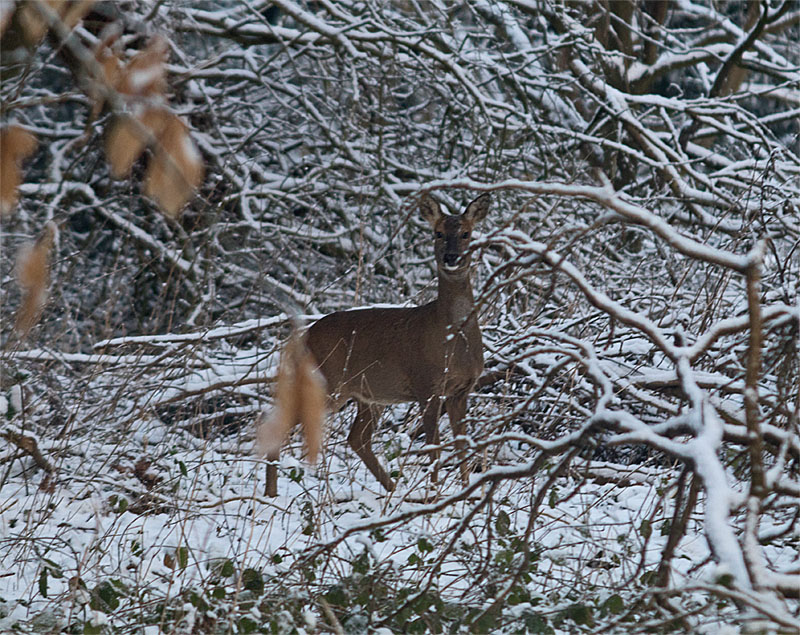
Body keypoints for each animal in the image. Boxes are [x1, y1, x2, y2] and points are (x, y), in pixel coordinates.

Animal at [264, 192, 490, 496]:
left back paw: (394, 490)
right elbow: (435, 448)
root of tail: (303, 337)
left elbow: (462, 446)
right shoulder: (426, 384)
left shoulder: (461, 390)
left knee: (357, 437)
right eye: (438, 233)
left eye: (466, 233)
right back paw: (270, 494)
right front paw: (435, 495)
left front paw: (466, 493)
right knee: (281, 424)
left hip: (367, 394)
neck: (452, 338)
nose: (451, 257)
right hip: (328, 382)